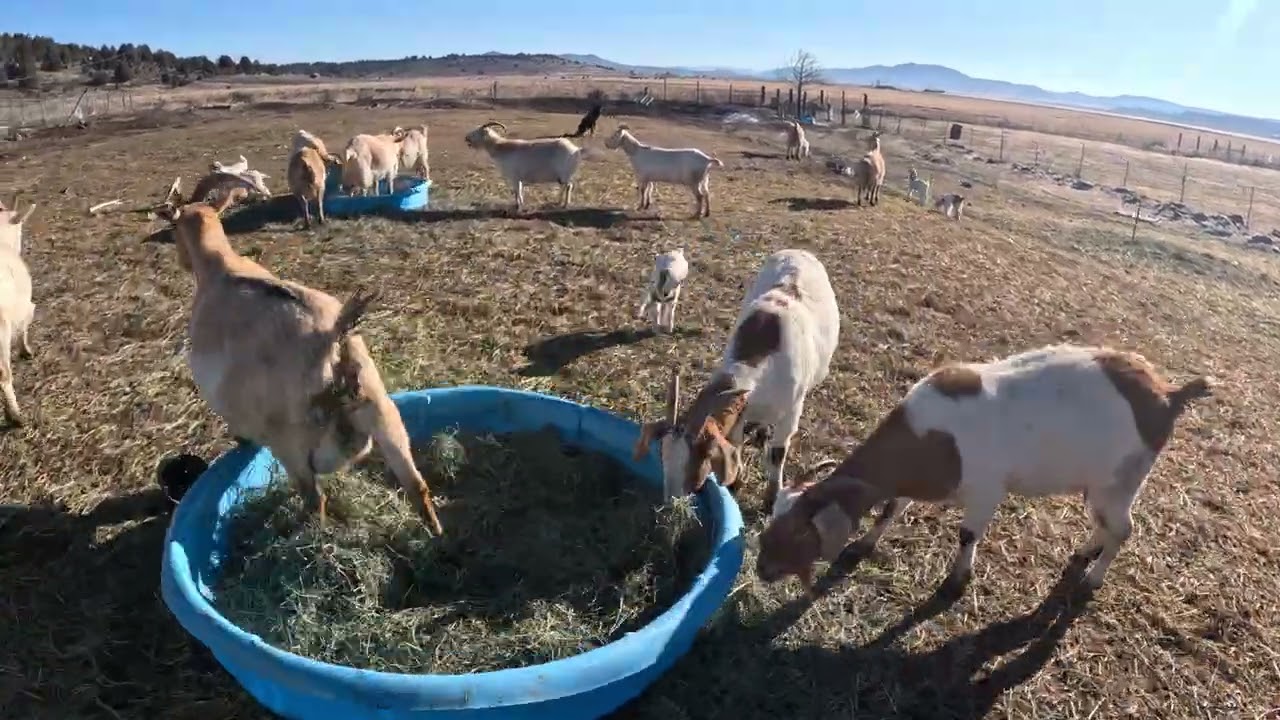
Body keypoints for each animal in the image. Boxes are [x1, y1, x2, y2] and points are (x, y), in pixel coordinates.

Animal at [141, 186, 444, 534]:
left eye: (174, 229)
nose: (181, 259)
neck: (223, 267)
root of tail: (333, 340)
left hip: (290, 444)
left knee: (315, 499)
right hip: (385, 415)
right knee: (416, 485)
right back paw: (434, 534)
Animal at [632, 249, 839, 512]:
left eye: (700, 457)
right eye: (663, 455)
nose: (670, 504)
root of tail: (798, 252)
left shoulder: (791, 412)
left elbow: (778, 454)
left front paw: (771, 498)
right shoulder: (741, 413)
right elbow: (737, 444)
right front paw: (735, 484)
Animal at [756, 343, 1215, 596]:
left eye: (799, 533)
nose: (761, 570)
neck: (932, 436)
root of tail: (1169, 394)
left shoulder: (986, 492)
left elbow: (967, 534)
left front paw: (957, 581)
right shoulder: (911, 481)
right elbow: (891, 508)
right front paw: (863, 544)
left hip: (1119, 482)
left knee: (1123, 529)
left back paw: (1092, 580)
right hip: (1100, 486)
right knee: (1105, 524)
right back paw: (1085, 553)